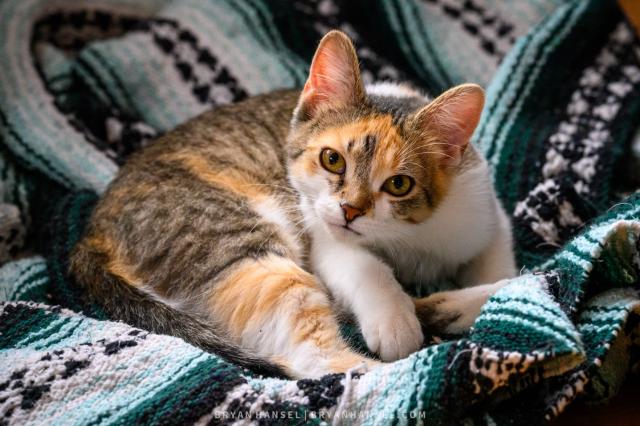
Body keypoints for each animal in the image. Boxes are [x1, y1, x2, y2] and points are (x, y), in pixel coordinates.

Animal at [70, 29, 516, 376]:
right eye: (332, 159)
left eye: (399, 184)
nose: (350, 210)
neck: (406, 239)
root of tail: (93, 231)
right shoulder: (324, 235)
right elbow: (363, 266)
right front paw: (395, 318)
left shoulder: (480, 210)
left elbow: (509, 276)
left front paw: (472, 304)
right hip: (235, 243)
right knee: (314, 358)